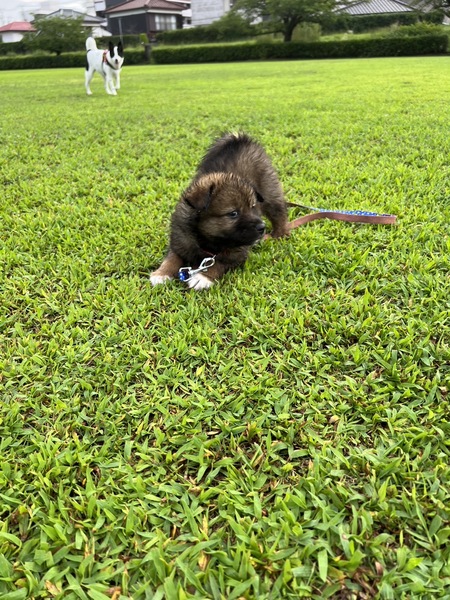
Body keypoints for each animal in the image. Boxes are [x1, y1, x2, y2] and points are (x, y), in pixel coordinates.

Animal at [150, 132, 289, 290]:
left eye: (253, 207)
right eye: (233, 213)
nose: (262, 227)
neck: (207, 241)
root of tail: (239, 138)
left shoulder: (236, 252)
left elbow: (219, 263)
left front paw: (202, 277)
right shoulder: (180, 240)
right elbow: (172, 258)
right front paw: (162, 273)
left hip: (270, 192)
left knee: (279, 213)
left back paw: (279, 234)